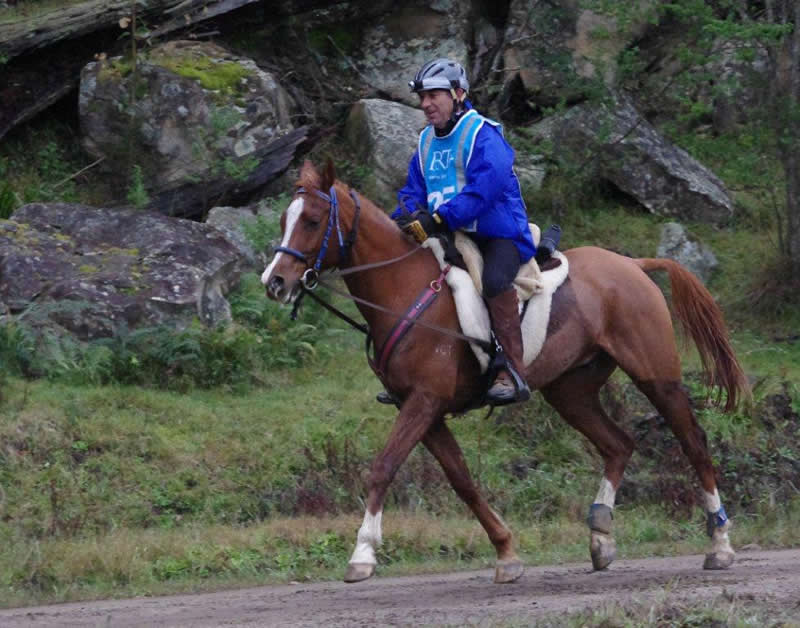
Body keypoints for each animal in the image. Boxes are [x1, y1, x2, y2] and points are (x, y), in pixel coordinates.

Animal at [261, 159, 750, 584]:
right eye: (286, 218)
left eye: (312, 221)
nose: (275, 282)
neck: (403, 290)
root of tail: (633, 264)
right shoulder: (424, 411)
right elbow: (463, 482)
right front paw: (506, 552)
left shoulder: (424, 402)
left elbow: (384, 466)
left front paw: (362, 553)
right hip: (570, 392)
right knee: (619, 445)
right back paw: (600, 535)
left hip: (656, 377)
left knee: (694, 443)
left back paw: (720, 544)